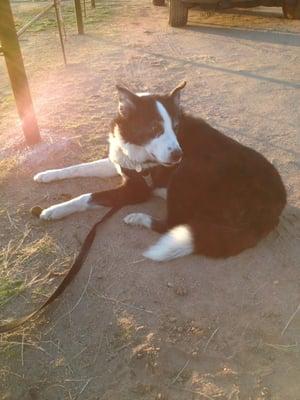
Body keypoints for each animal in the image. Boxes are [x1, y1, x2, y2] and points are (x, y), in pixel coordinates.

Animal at [34, 82, 288, 260]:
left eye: (175, 127)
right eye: (155, 128)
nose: (177, 155)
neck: (136, 146)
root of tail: (273, 210)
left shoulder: (136, 190)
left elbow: (86, 197)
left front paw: (54, 210)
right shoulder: (120, 162)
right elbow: (78, 167)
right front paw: (46, 175)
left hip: (188, 171)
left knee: (172, 224)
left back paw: (139, 218)